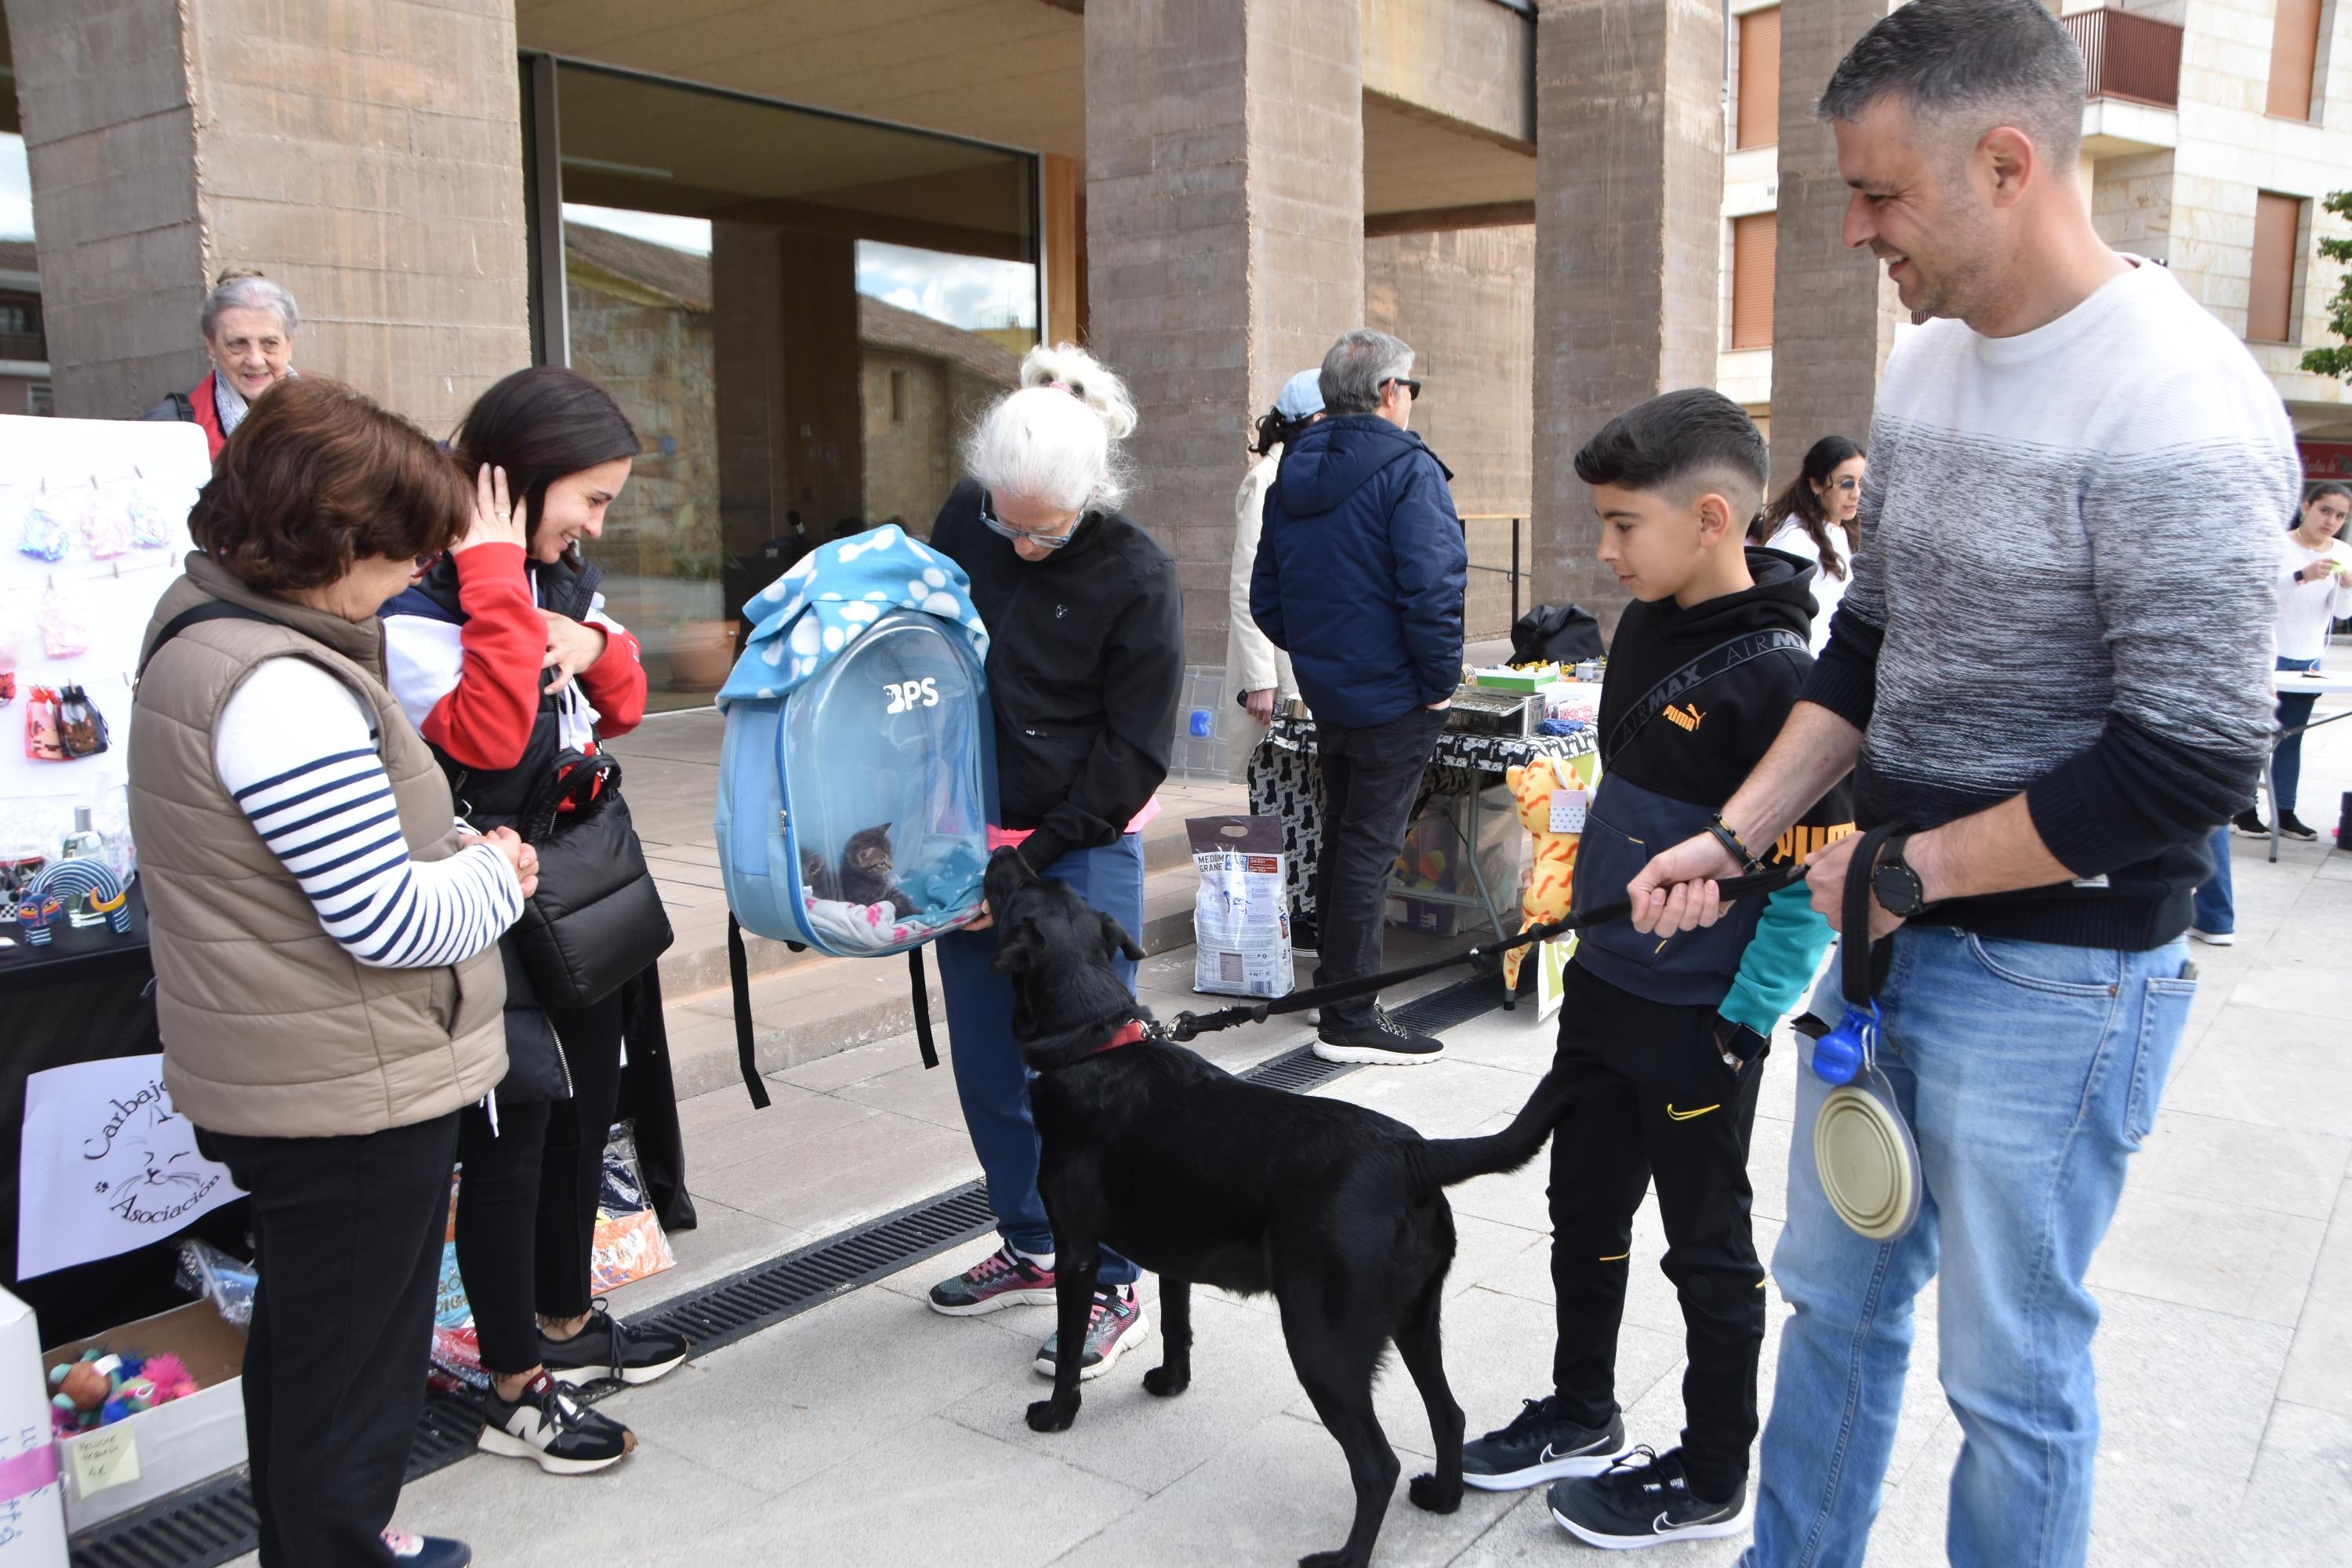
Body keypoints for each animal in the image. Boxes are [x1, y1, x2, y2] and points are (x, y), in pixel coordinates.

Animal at [983, 846, 1571, 1568]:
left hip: (1323, 1342)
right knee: (1449, 1415)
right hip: (1415, 1317)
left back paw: (1346, 1557)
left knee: (1376, 1465)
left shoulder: (1076, 1251)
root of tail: (1412, 1153)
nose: (1007, 850)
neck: (1094, 1042)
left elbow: (1068, 1350)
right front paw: (1170, 1383)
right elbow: (1176, 1325)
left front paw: (1056, 1414)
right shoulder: (1174, 1252)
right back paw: (1443, 1498)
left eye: (1017, 892)